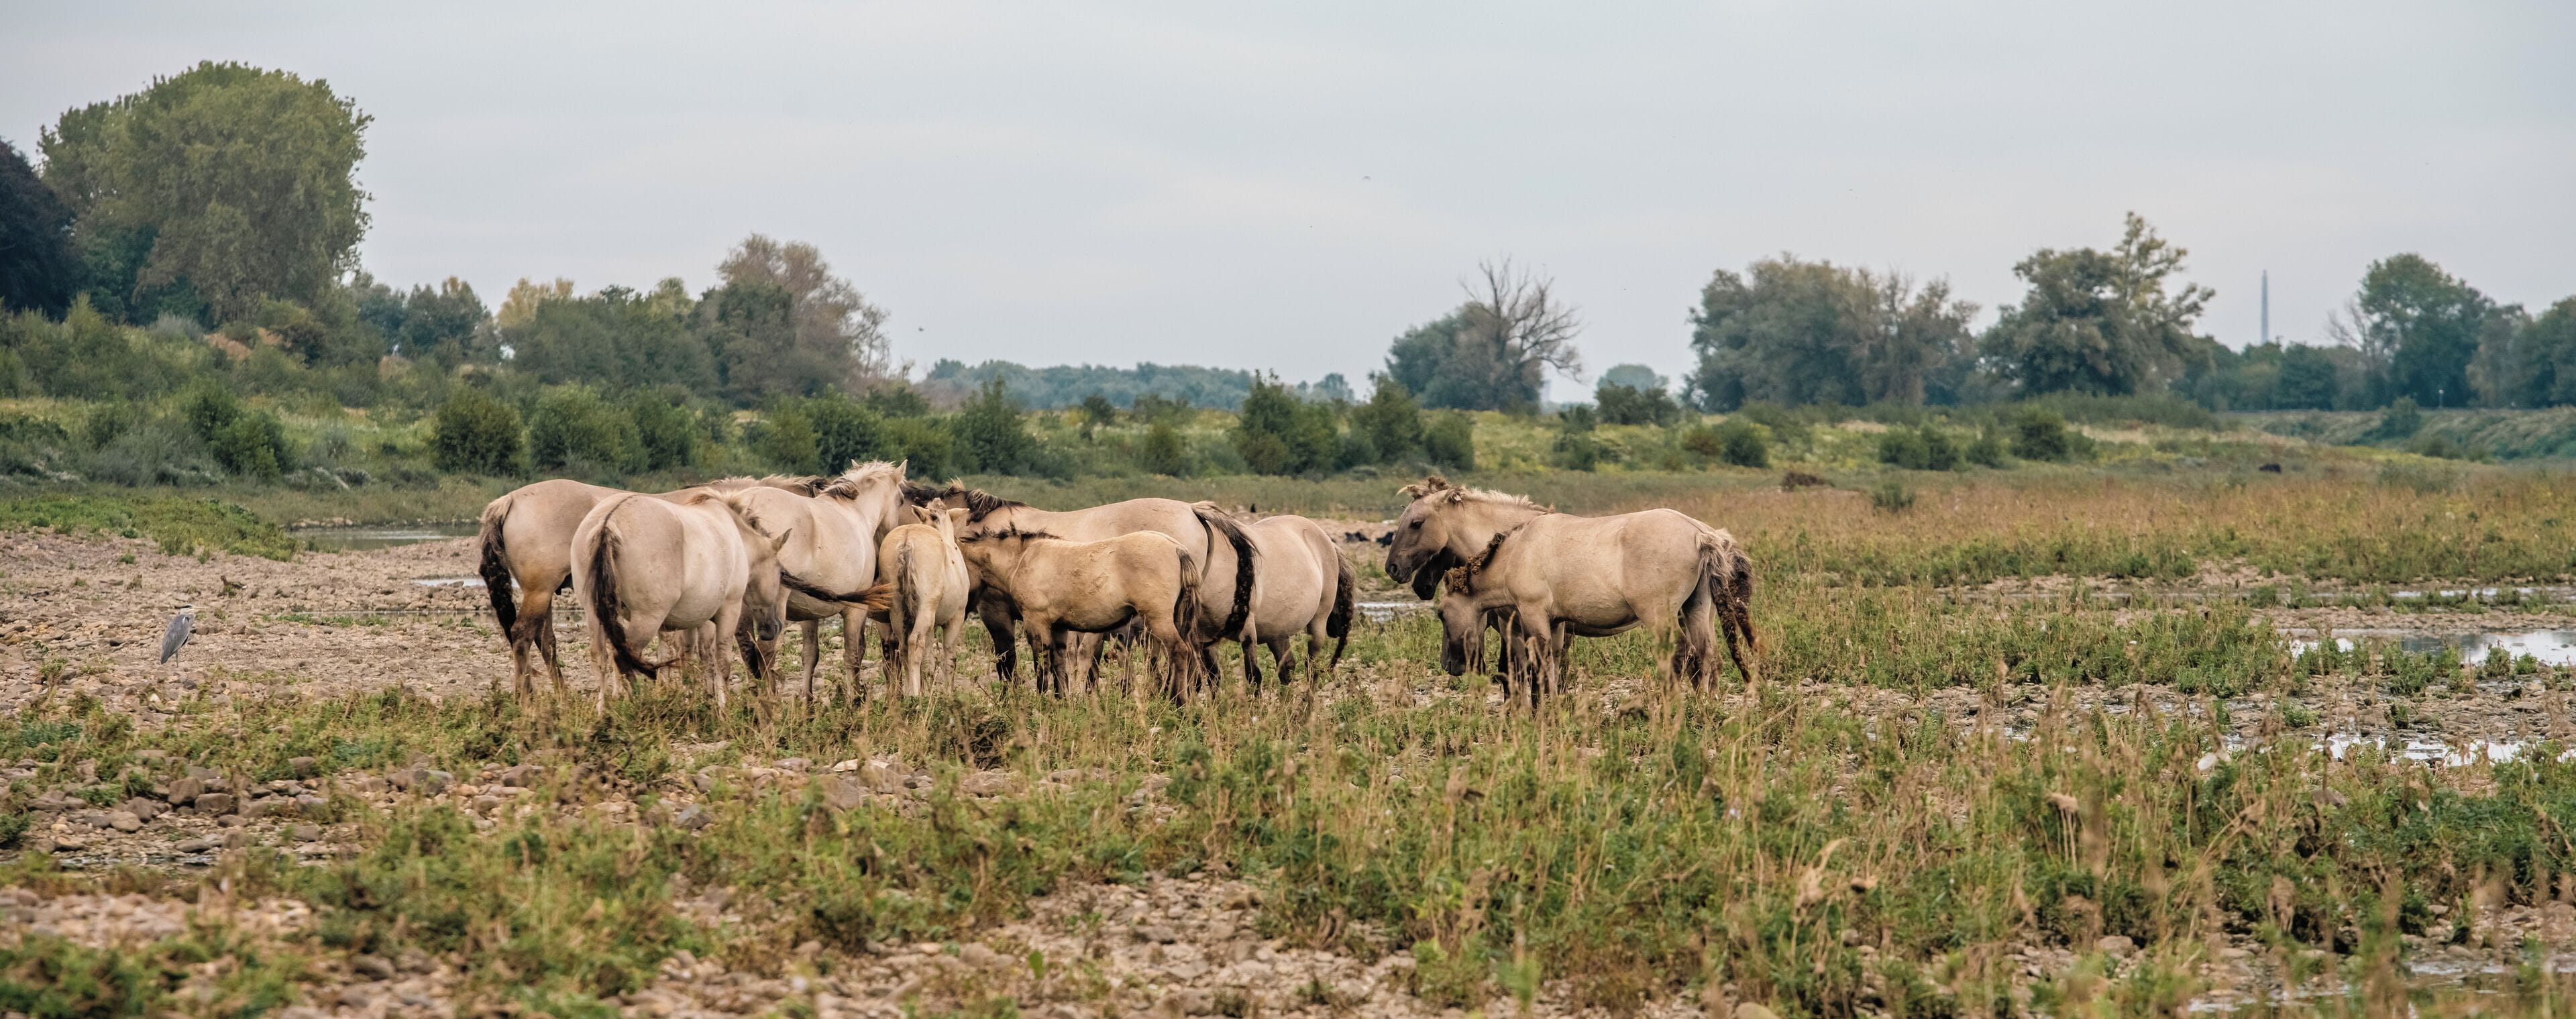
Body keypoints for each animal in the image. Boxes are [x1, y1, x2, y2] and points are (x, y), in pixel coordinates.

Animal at [476, 475, 816, 695]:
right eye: (780, 572)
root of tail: (508, 500)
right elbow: (711, 650)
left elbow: (686, 648)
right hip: (541, 592)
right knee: (524, 636)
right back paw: (527, 699)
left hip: (545, 594)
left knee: (545, 641)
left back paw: (562, 697)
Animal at [730, 461, 911, 700]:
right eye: (901, 500)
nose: (887, 539)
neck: (856, 512)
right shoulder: (856, 611)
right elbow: (853, 656)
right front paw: (855, 700)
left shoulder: (809, 613)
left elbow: (810, 654)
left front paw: (807, 702)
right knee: (765, 651)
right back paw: (771, 701)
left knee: (743, 651)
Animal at [876, 505, 973, 697]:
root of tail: (906, 542)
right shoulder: (956, 618)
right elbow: (949, 658)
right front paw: (947, 694)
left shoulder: (931, 626)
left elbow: (928, 661)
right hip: (925, 608)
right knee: (914, 643)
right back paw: (914, 694)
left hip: (898, 610)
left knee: (904, 646)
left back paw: (909, 691)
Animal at [951, 527, 1203, 697]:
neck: (1023, 560)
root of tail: (1177, 548)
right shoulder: (1059, 628)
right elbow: (1059, 666)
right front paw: (1062, 700)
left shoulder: (1036, 622)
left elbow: (1041, 664)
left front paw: (1042, 701)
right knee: (1190, 655)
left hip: (1158, 620)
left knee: (1179, 652)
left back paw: (1178, 703)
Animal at [1385, 476, 1758, 699]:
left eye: (1416, 523)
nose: (1395, 570)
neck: (1516, 549)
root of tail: (1702, 534)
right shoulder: (1552, 623)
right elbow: (1543, 667)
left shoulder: (1523, 619)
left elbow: (1526, 669)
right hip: (1697, 609)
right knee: (1707, 656)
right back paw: (1703, 709)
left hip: (1659, 616)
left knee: (1681, 654)